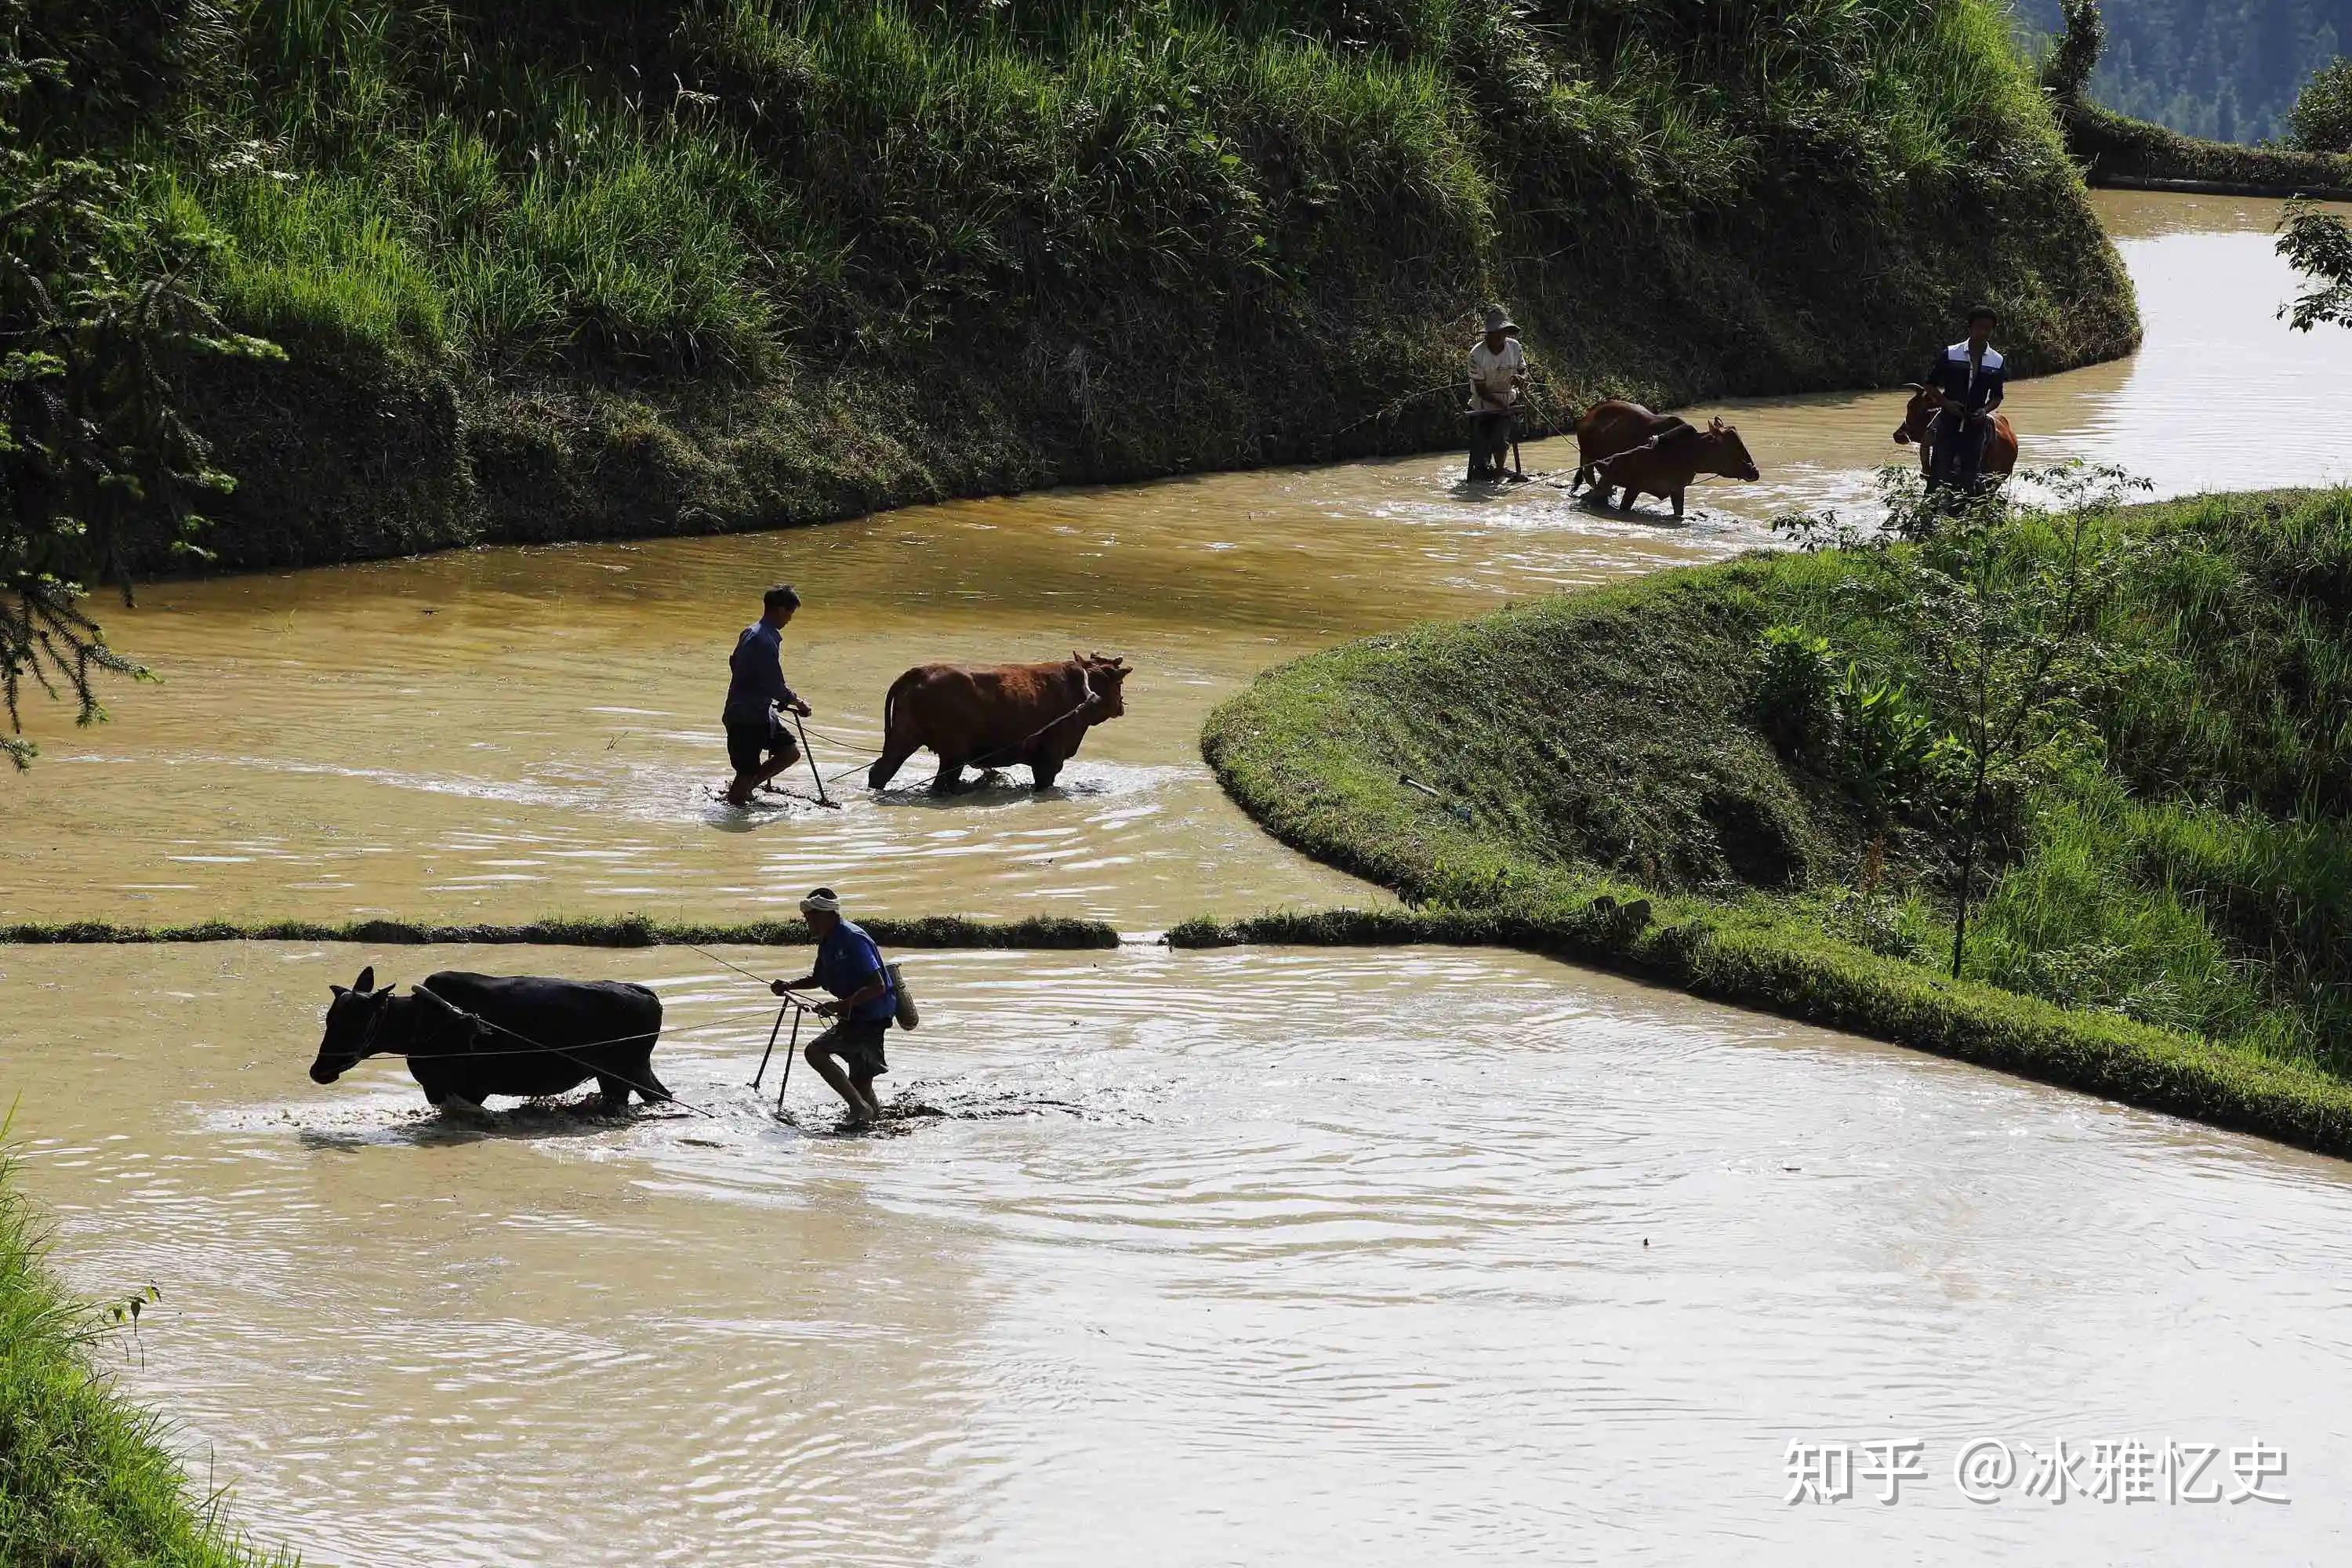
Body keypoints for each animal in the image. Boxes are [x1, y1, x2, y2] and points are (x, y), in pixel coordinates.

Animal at [308, 968, 668, 1114]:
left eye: (355, 1020)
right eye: (330, 1019)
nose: (318, 1070)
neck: (424, 1021)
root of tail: (645, 993)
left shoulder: (469, 1090)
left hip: (622, 1075)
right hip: (629, 1073)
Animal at [866, 653, 1129, 799]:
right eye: (1119, 683)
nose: (1121, 706)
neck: (1083, 689)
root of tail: (919, 672)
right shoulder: (1050, 759)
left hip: (904, 737)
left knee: (881, 771)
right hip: (952, 754)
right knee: (939, 783)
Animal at [1571, 404, 1759, 521]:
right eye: (1733, 447)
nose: (1754, 472)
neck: (1688, 452)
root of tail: (1587, 416)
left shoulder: (1677, 489)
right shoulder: (1630, 485)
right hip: (1588, 462)